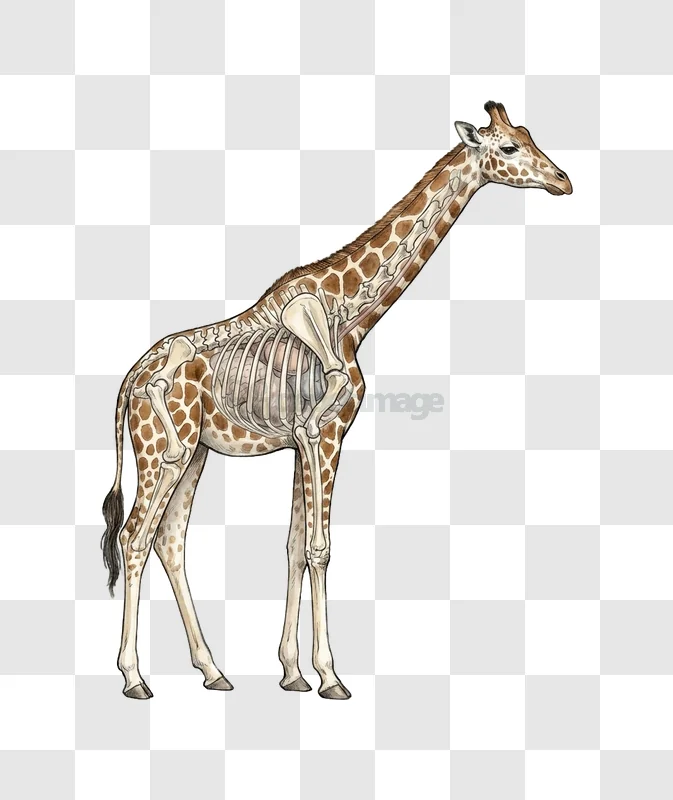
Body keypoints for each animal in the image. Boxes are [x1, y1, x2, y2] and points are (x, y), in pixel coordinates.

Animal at [102, 101, 572, 700]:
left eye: (529, 135)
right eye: (509, 148)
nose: (563, 180)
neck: (353, 311)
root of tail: (129, 381)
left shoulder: (302, 441)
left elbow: (294, 546)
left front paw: (292, 672)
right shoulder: (323, 433)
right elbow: (318, 548)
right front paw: (329, 676)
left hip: (197, 451)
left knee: (169, 540)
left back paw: (213, 671)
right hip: (164, 448)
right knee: (135, 537)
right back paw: (134, 677)